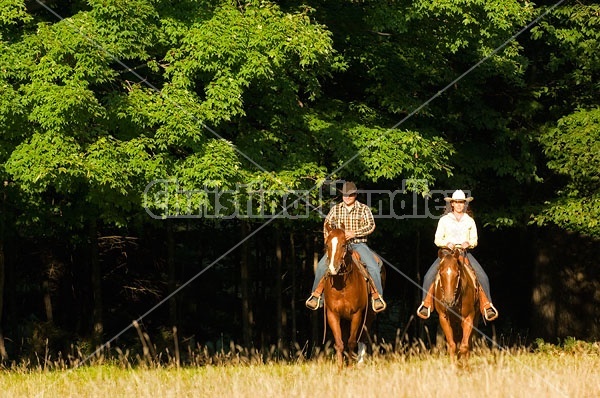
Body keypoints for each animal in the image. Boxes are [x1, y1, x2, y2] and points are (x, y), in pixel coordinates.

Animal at [322, 225, 386, 368]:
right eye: (327, 245)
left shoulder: (357, 314)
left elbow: (352, 341)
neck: (342, 287)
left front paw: (350, 366)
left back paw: (359, 362)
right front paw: (340, 367)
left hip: (369, 315)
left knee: (362, 337)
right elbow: (339, 342)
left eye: (343, 244)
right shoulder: (332, 314)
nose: (332, 269)